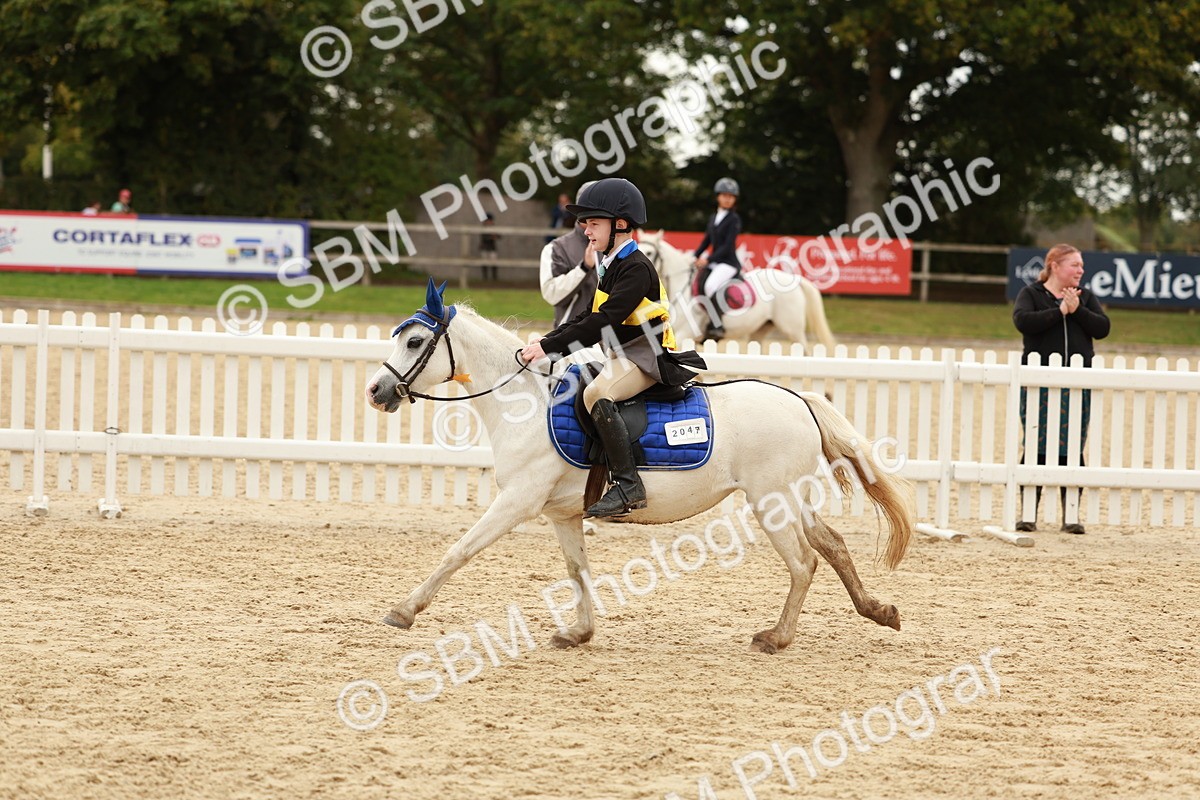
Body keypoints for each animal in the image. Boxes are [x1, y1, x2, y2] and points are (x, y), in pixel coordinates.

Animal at [365, 282, 913, 653]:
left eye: (414, 343)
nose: (376, 391)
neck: (525, 401)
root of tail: (799, 399)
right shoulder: (561, 514)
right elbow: (577, 571)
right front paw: (579, 632)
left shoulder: (517, 501)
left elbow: (458, 551)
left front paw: (404, 611)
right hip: (789, 500)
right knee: (832, 546)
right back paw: (878, 610)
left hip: (770, 502)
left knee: (803, 562)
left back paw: (776, 637)